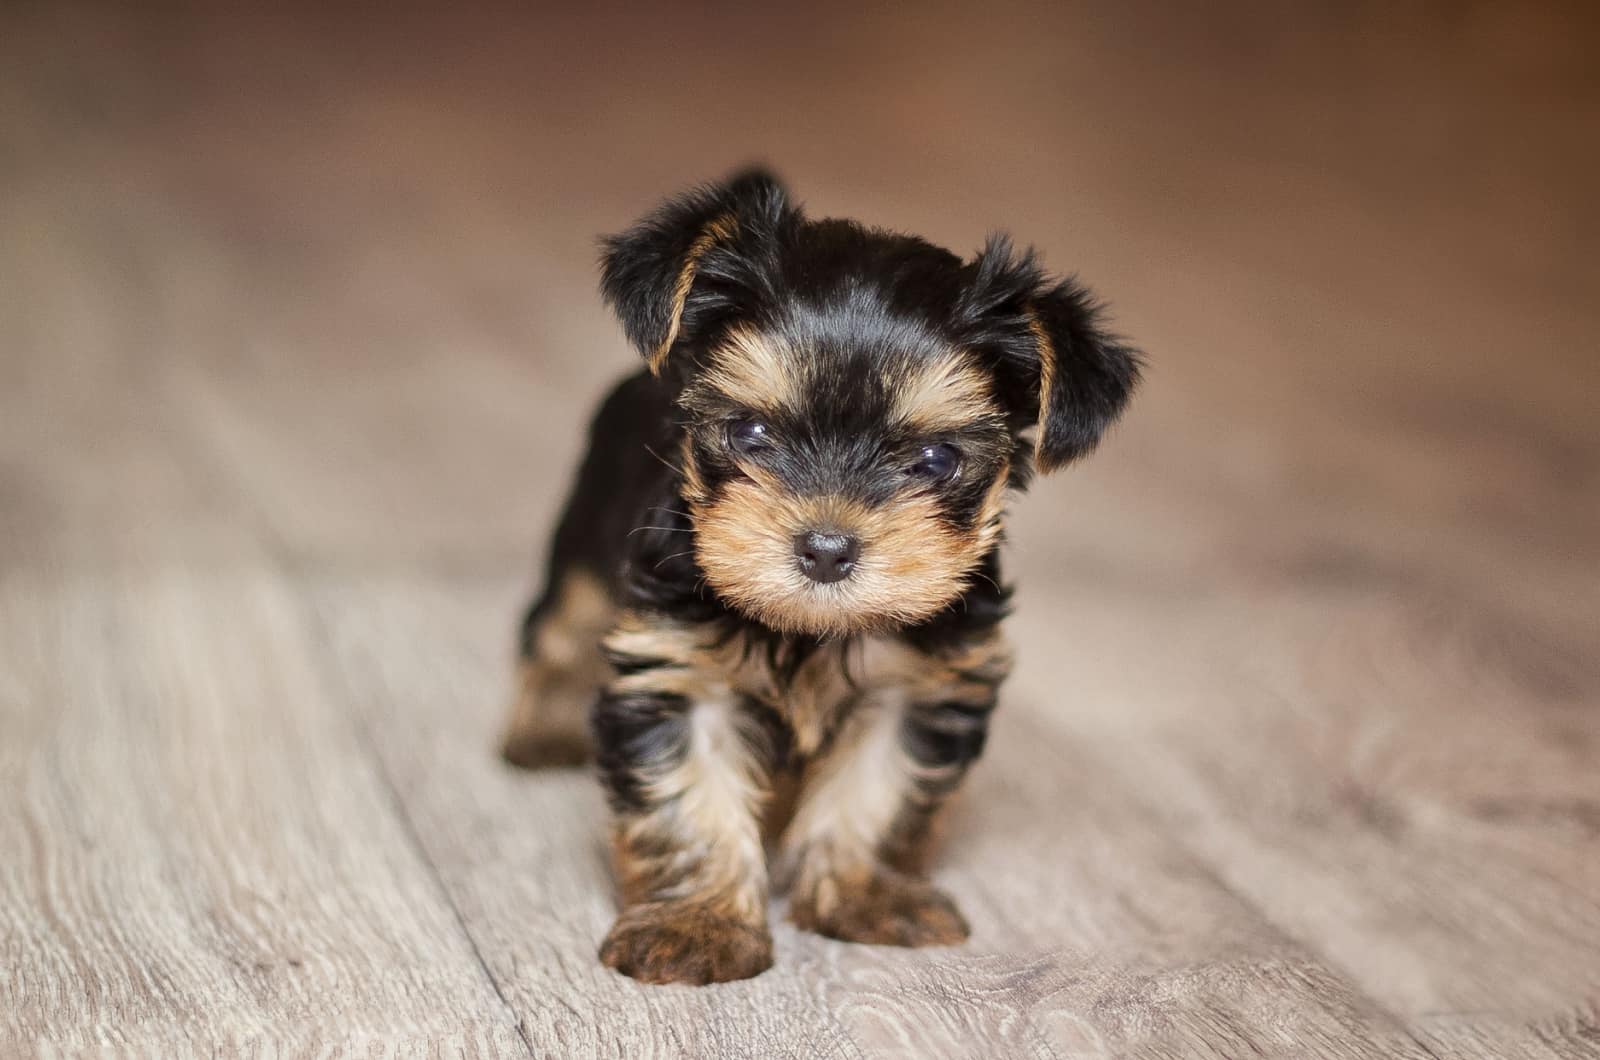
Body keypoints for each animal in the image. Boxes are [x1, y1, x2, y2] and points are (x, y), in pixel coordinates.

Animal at [499, 168, 1139, 986]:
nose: (828, 549)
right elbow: (690, 795)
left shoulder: (921, 684)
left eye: (937, 461)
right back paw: (544, 726)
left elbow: (881, 786)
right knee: (557, 629)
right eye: (750, 433)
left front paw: (866, 898)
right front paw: (696, 926)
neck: (813, 631)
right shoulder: (676, 664)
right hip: (582, 538)